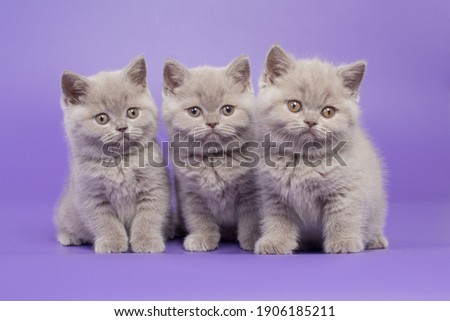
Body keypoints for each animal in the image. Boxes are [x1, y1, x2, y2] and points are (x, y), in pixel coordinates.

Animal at [55, 56, 171, 254]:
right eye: (102, 118)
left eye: (132, 112)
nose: (122, 127)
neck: (120, 163)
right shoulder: (91, 195)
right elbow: (105, 222)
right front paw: (112, 242)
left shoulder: (154, 187)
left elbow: (148, 217)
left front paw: (146, 241)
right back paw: (68, 236)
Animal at [162, 55, 260, 251]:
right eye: (194, 111)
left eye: (228, 109)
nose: (212, 123)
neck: (214, 159)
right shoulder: (189, 192)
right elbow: (198, 217)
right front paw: (202, 237)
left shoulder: (251, 191)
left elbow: (251, 216)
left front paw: (253, 239)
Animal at [255, 45, 388, 255]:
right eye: (294, 105)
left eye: (328, 112)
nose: (311, 121)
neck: (302, 160)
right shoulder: (273, 195)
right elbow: (277, 219)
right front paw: (275, 241)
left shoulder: (346, 190)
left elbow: (343, 217)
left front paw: (344, 242)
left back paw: (376, 240)